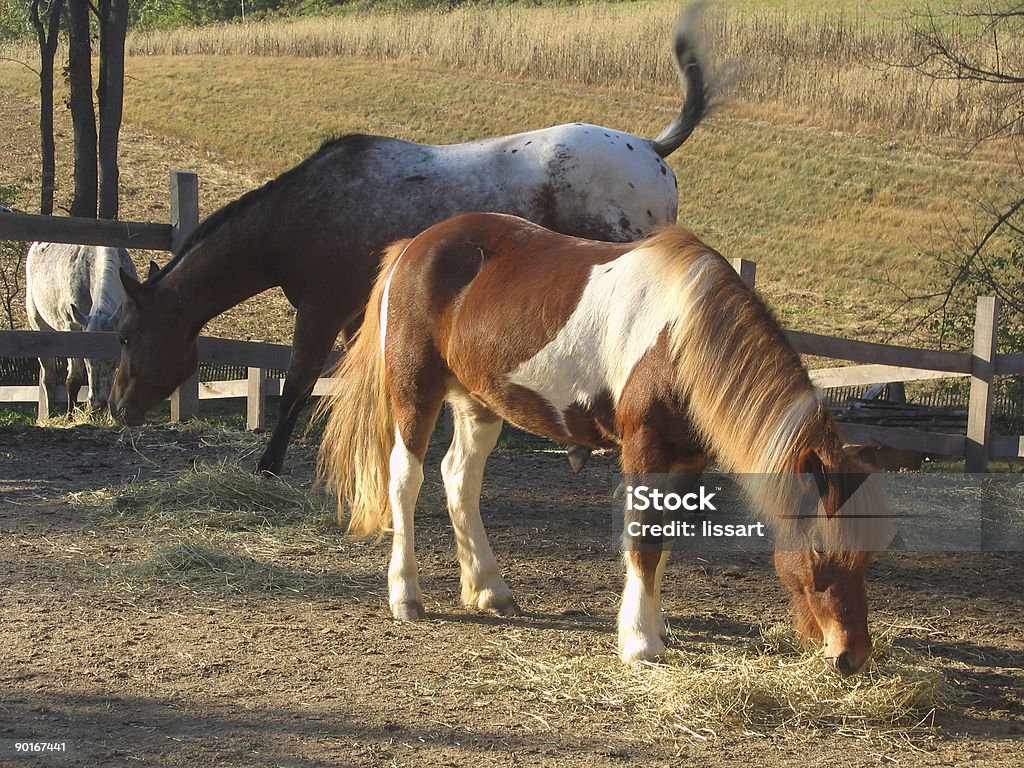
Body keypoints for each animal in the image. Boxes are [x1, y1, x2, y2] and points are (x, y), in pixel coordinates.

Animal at [24, 244, 137, 415]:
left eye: (110, 360)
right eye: (86, 359)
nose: (97, 403)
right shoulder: (73, 327)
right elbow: (73, 380)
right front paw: (70, 416)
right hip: (38, 326)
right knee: (48, 377)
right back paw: (50, 414)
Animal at [105, 13, 712, 475]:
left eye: (128, 335)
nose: (117, 407)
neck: (302, 211)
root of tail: (650, 148)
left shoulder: (322, 309)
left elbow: (299, 380)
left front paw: (269, 463)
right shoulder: (356, 312)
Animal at [315, 214, 892, 675]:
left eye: (869, 554)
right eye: (819, 549)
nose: (851, 655)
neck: (679, 337)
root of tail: (414, 244)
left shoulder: (688, 457)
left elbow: (663, 538)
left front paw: (655, 629)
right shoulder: (644, 447)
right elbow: (642, 539)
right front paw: (639, 643)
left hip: (480, 402)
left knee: (459, 478)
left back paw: (489, 590)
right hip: (415, 391)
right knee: (405, 480)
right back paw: (406, 596)